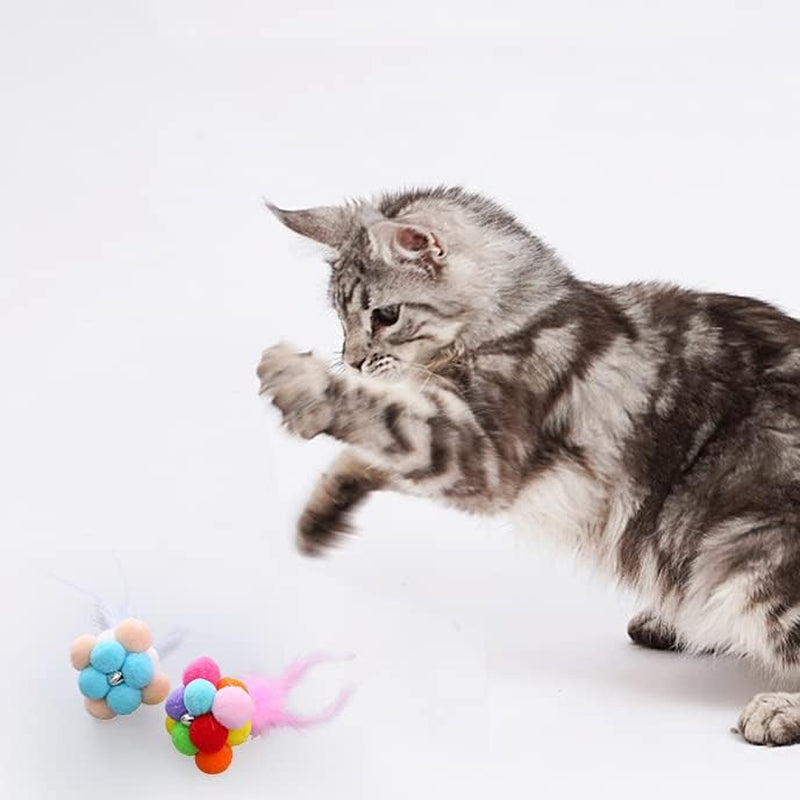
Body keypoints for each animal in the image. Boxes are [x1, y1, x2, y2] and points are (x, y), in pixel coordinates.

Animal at [258, 184, 800, 748]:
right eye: (341, 318)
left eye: (386, 316)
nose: (352, 359)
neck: (519, 318)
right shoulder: (449, 426)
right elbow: (375, 446)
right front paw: (322, 515)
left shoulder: (482, 454)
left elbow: (385, 418)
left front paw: (305, 382)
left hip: (744, 551)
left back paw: (775, 707)